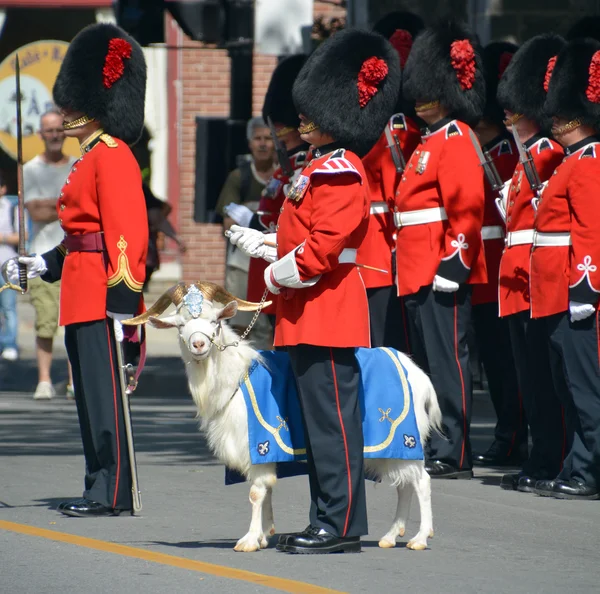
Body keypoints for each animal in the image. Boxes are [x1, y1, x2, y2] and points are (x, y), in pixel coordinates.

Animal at [126, 282, 442, 552]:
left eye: (215, 320)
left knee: (421, 481)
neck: (236, 378)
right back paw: (390, 536)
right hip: (392, 448)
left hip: (404, 435)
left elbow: (257, 492)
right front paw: (265, 535)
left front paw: (249, 540)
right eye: (180, 324)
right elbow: (267, 491)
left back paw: (419, 538)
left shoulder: (259, 444)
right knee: (404, 485)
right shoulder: (261, 452)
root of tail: (418, 374)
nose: (199, 345)